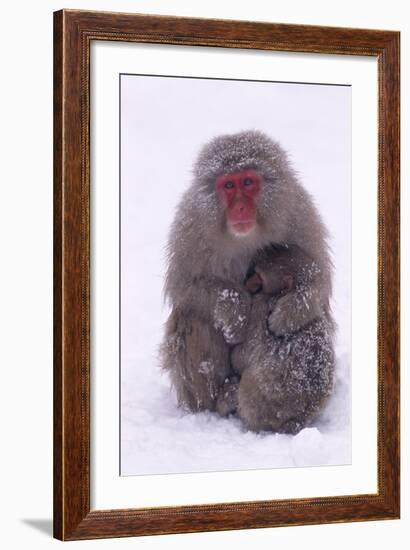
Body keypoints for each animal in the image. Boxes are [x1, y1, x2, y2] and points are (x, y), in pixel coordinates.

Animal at [159, 129, 334, 432]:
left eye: (249, 182)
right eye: (229, 185)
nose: (240, 207)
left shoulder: (299, 213)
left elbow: (319, 279)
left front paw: (287, 314)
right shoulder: (190, 226)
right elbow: (186, 286)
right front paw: (235, 309)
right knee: (194, 317)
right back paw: (210, 406)